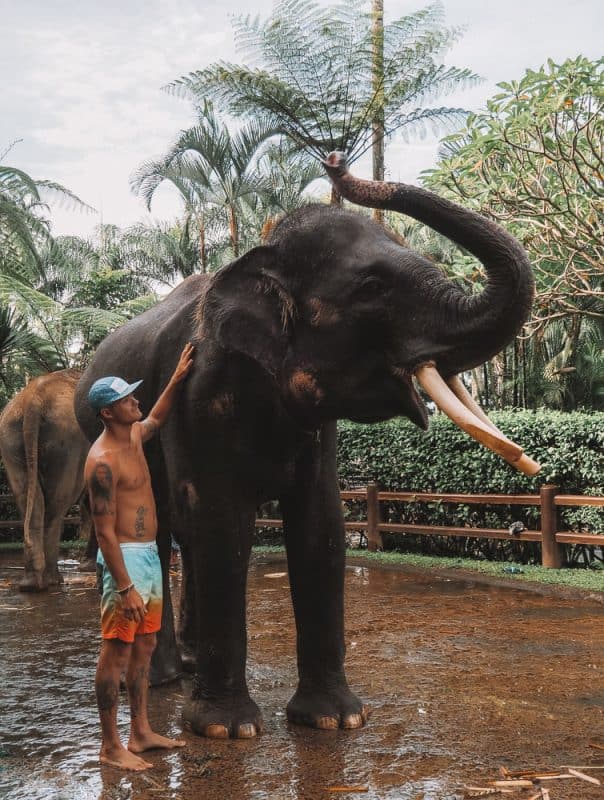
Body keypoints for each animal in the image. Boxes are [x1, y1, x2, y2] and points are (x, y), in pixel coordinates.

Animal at [0, 369, 93, 591]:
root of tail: (33, 400)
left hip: (10, 438)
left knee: (28, 498)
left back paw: (31, 583)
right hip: (68, 442)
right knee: (57, 503)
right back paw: (52, 580)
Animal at [74, 152, 539, 738]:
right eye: (371, 287)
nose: (336, 160)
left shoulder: (316, 427)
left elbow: (322, 525)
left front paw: (335, 720)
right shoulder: (199, 398)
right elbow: (223, 522)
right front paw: (227, 728)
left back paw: (189, 664)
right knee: (154, 529)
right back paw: (161, 679)